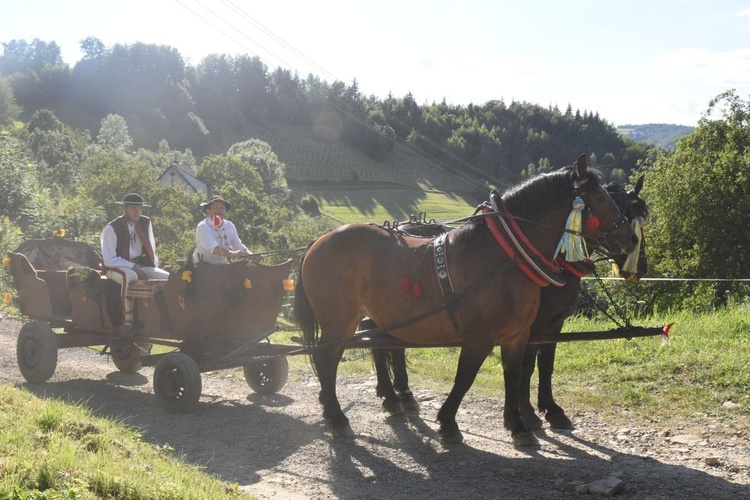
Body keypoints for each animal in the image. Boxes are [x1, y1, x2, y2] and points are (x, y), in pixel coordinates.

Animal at [296, 154, 636, 444]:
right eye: (601, 198)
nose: (630, 239)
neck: (503, 254)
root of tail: (318, 241)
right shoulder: (479, 336)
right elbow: (465, 377)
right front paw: (448, 422)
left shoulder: (518, 335)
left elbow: (514, 375)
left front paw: (518, 426)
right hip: (339, 321)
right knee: (328, 359)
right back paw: (337, 416)